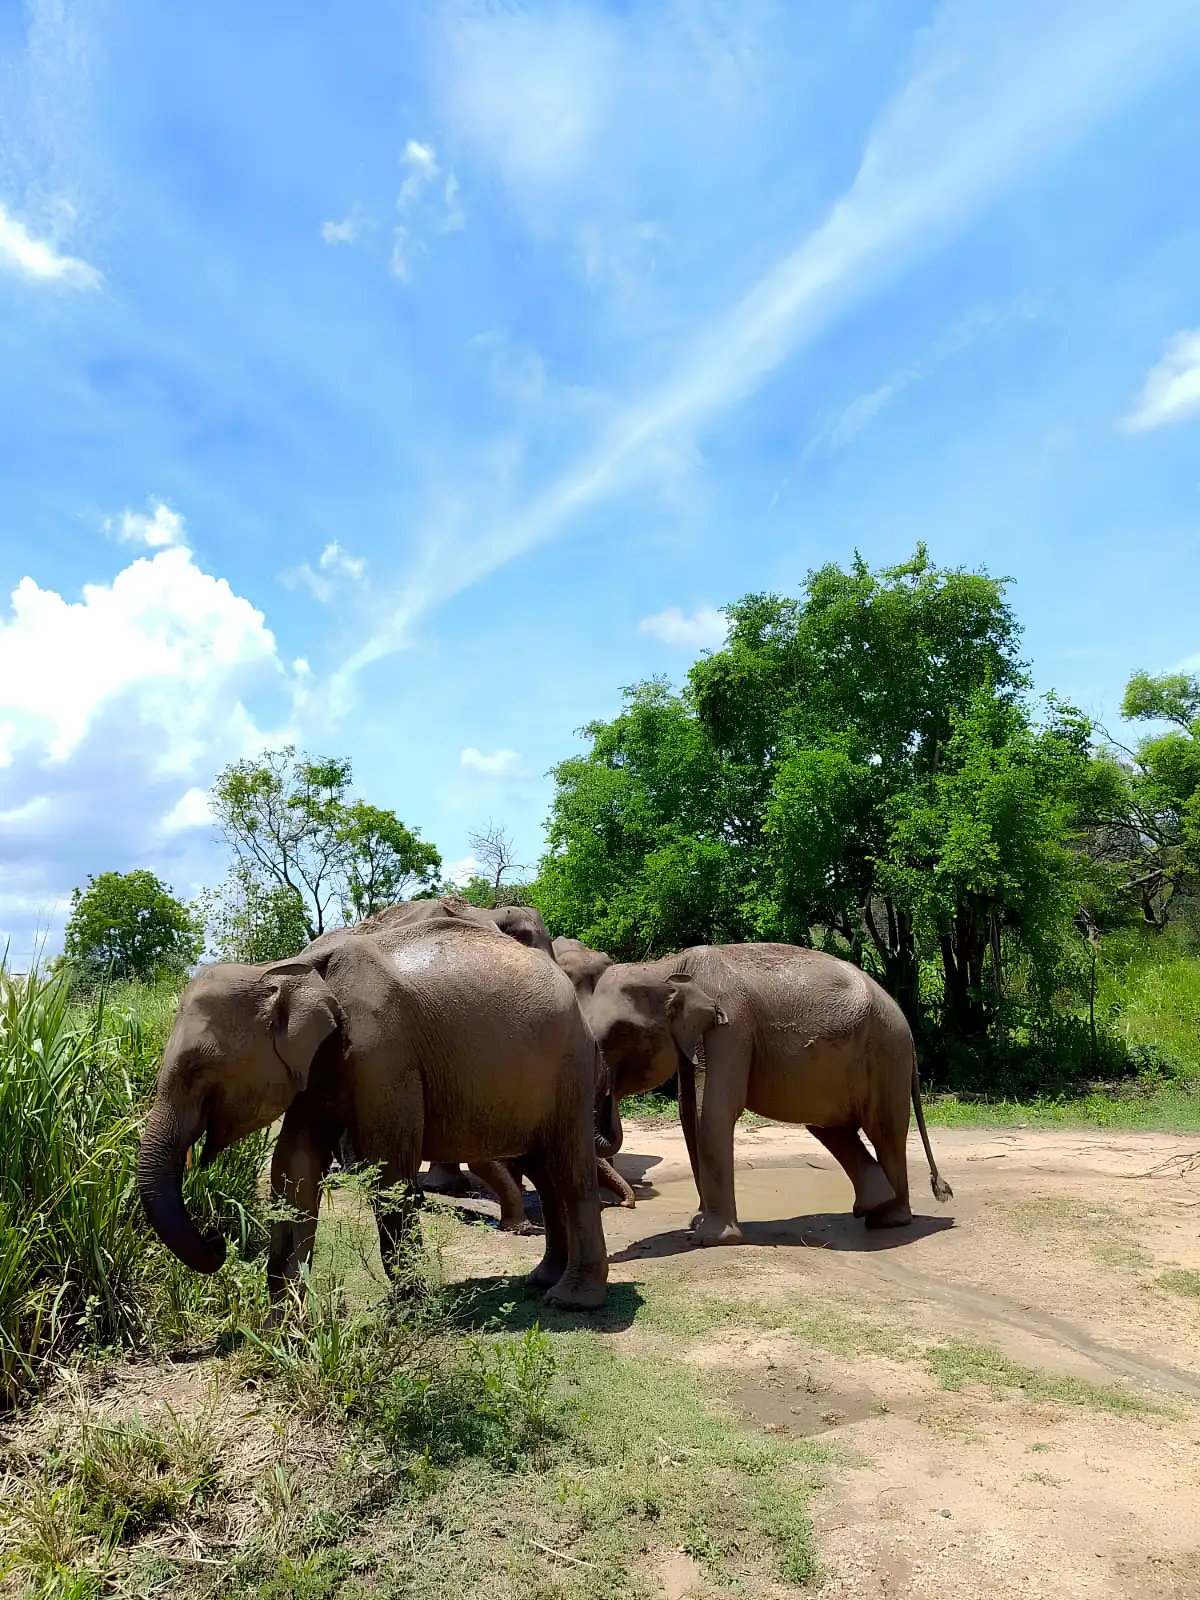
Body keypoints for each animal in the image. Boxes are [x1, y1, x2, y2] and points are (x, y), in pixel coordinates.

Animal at [137, 917, 611, 1309]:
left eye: (198, 1068)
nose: (218, 1240)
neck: (286, 970)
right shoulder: (317, 1066)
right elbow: (294, 1168)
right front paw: (285, 1327)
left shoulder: (382, 1050)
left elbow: (388, 1170)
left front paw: (409, 1309)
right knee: (544, 1172)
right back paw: (541, 1280)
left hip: (570, 1066)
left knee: (569, 1171)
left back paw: (571, 1301)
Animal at [580, 943, 952, 1246]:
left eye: (620, 1033)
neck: (665, 966)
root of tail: (904, 1018)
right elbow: (689, 1115)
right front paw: (696, 1224)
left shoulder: (729, 1028)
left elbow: (711, 1112)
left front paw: (710, 1239)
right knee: (828, 1126)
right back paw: (875, 1208)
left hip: (887, 1054)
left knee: (883, 1130)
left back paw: (890, 1220)